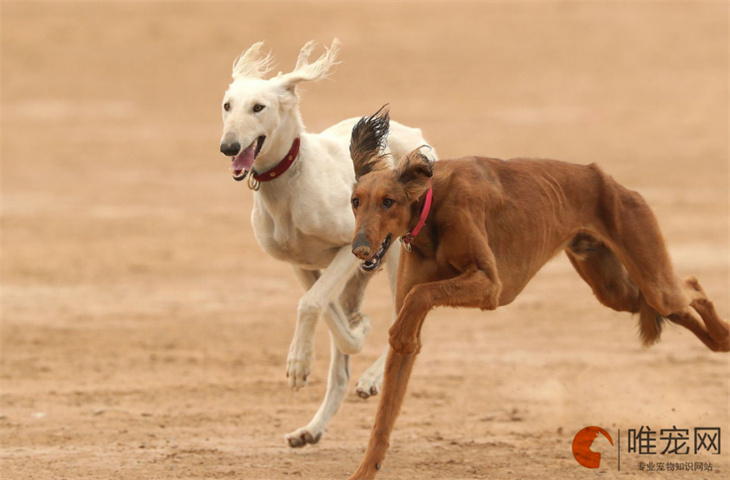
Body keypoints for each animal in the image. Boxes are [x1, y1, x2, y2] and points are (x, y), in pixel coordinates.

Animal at [219, 39, 436, 448]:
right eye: (227, 105)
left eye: (259, 107)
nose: (229, 146)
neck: (289, 181)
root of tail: (415, 136)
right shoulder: (302, 264)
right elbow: (327, 315)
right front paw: (355, 330)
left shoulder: (350, 249)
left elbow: (310, 304)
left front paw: (298, 365)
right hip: (360, 278)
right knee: (342, 367)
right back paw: (312, 427)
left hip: (396, 257)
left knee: (408, 323)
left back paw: (372, 379)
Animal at [344, 107, 724, 478]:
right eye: (355, 201)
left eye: (388, 202)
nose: (359, 249)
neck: (431, 207)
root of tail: (606, 179)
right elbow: (384, 418)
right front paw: (364, 470)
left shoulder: (490, 285)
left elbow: (420, 296)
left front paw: (401, 332)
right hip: (615, 289)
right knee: (674, 305)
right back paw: (719, 340)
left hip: (650, 274)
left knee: (691, 287)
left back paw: (723, 337)